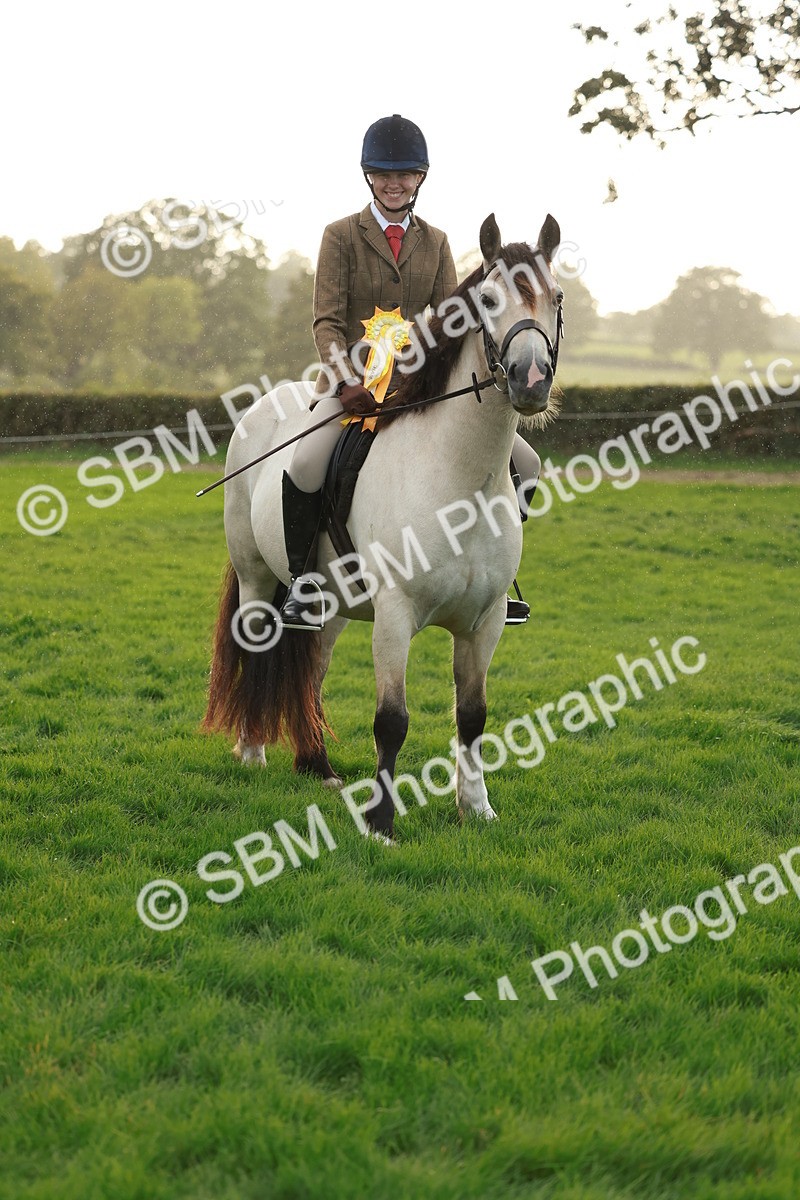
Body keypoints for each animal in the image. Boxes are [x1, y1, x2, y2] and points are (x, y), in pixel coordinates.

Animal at [202, 213, 563, 839]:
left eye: (557, 297)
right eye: (488, 299)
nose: (532, 379)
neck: (458, 474)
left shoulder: (485, 621)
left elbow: (474, 715)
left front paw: (476, 808)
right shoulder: (396, 615)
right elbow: (391, 720)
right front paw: (381, 824)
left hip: (332, 606)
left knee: (313, 671)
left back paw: (317, 766)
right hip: (255, 577)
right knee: (257, 642)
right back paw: (251, 751)